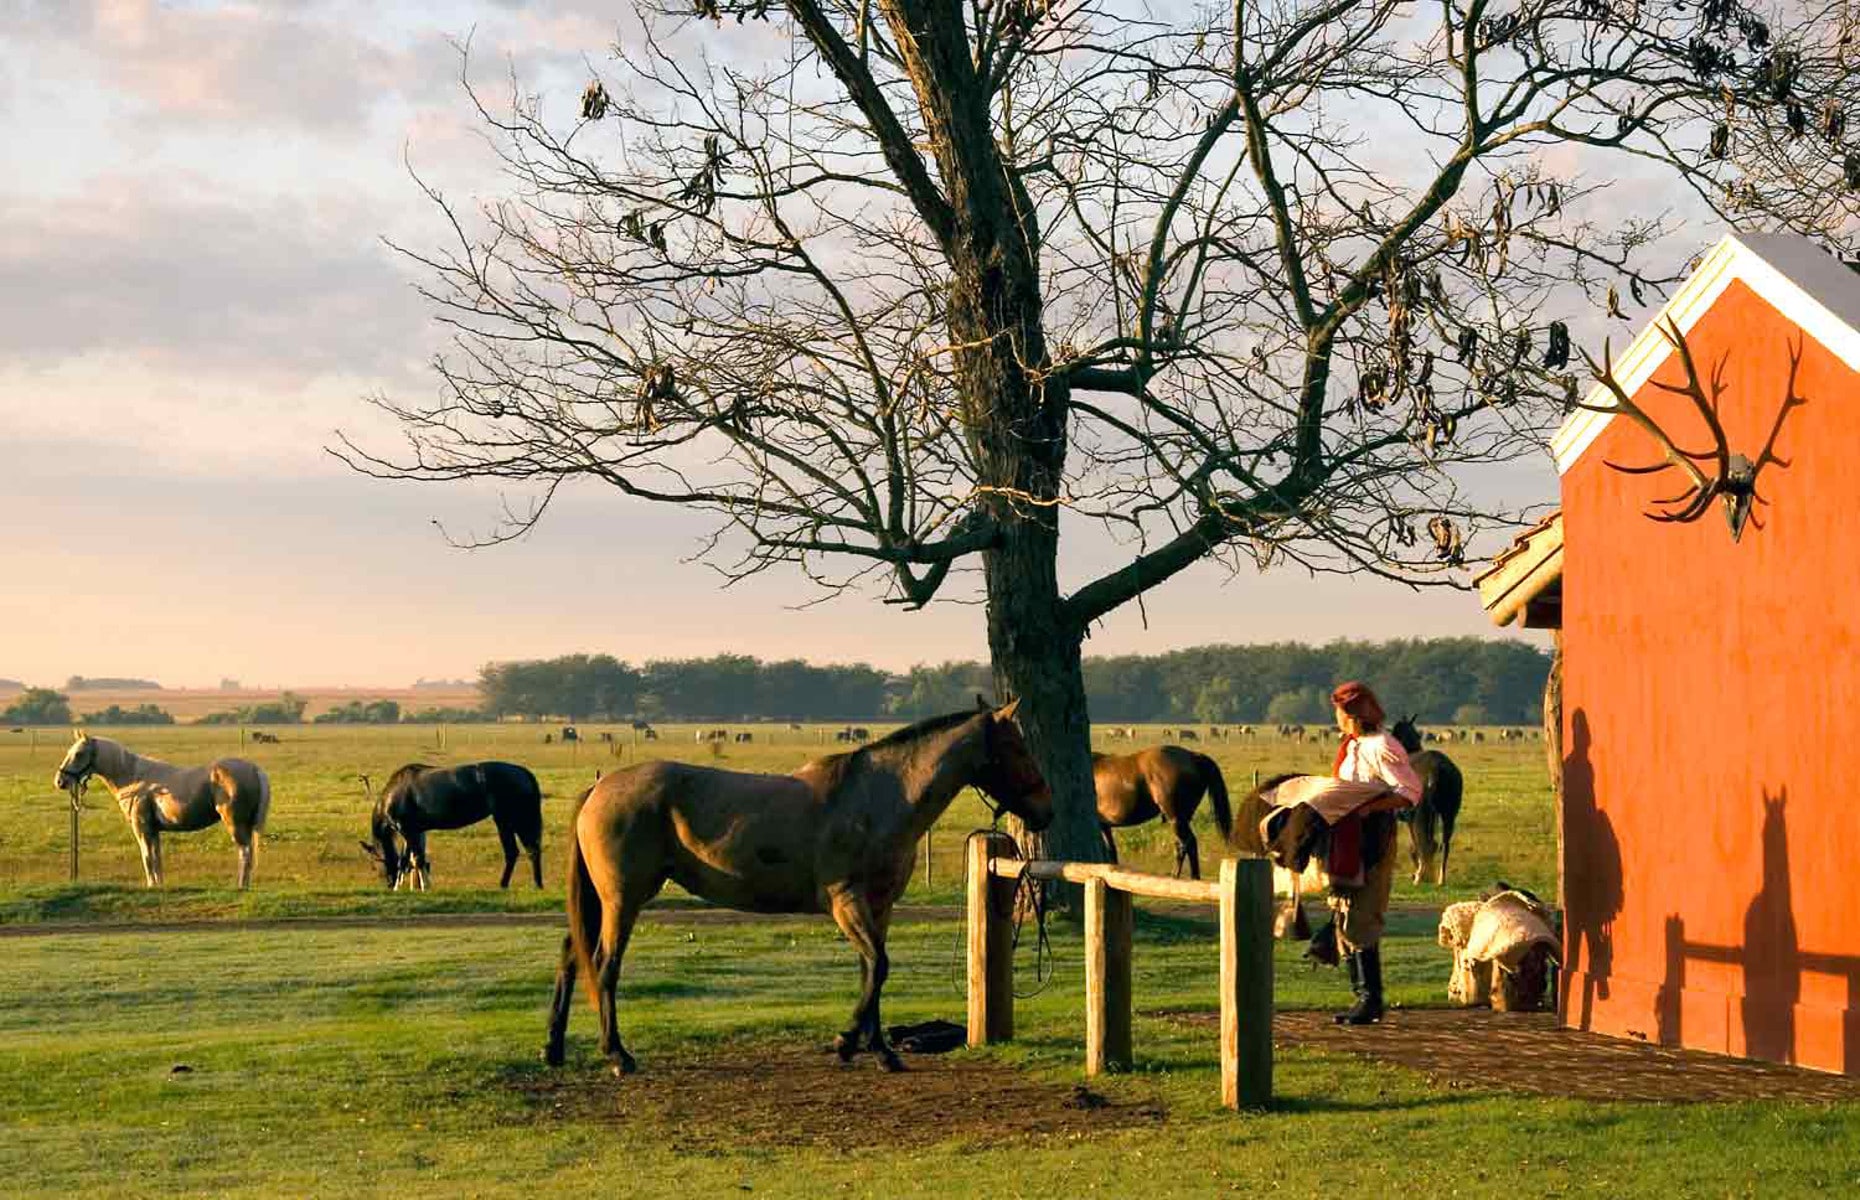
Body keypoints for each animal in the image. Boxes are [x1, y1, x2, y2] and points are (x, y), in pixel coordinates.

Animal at [54, 725, 271, 885]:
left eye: (79, 753)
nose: (60, 781)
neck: (134, 778)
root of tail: (254, 769)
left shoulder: (141, 828)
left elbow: (147, 858)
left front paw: (151, 885)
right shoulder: (153, 830)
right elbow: (156, 858)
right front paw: (159, 885)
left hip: (235, 824)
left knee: (245, 853)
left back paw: (240, 886)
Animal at [358, 759, 543, 889]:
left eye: (374, 865)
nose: (388, 884)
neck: (392, 794)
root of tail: (523, 772)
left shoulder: (408, 830)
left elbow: (416, 859)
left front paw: (424, 886)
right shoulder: (414, 832)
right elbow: (407, 860)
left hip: (515, 819)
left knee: (529, 850)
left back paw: (533, 884)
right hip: (505, 821)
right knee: (516, 852)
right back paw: (511, 885)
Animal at [543, 695, 1056, 1071]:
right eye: (1017, 747)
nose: (1045, 809)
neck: (877, 799)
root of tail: (599, 787)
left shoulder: (880, 907)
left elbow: (872, 970)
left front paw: (878, 1051)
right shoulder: (847, 903)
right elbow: (878, 966)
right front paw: (847, 1041)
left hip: (604, 901)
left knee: (571, 956)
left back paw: (554, 1049)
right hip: (624, 900)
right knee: (604, 964)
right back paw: (618, 1055)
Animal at [1086, 744, 1235, 874]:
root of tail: (1193, 756)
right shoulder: (1104, 826)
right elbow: (1111, 851)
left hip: (1175, 818)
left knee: (1188, 844)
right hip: (1181, 820)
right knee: (1182, 846)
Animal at [1391, 714, 1458, 885]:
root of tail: (1436, 769)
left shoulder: (1410, 818)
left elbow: (1415, 845)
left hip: (1421, 814)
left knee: (1425, 844)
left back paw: (1420, 876)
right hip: (1448, 814)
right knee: (1443, 844)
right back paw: (1440, 877)